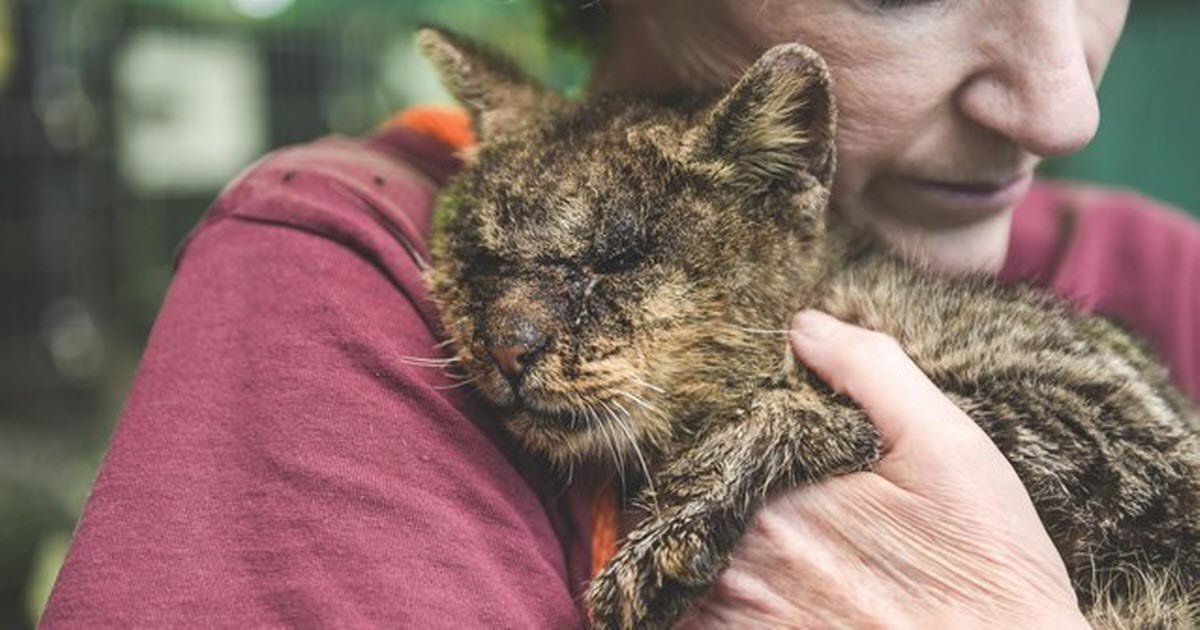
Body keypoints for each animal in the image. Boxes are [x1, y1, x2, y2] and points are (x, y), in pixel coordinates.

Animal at [415, 27, 1200, 624]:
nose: (507, 346)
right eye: (481, 256)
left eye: (618, 259)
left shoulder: (1130, 438)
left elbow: (798, 402)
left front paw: (667, 535)